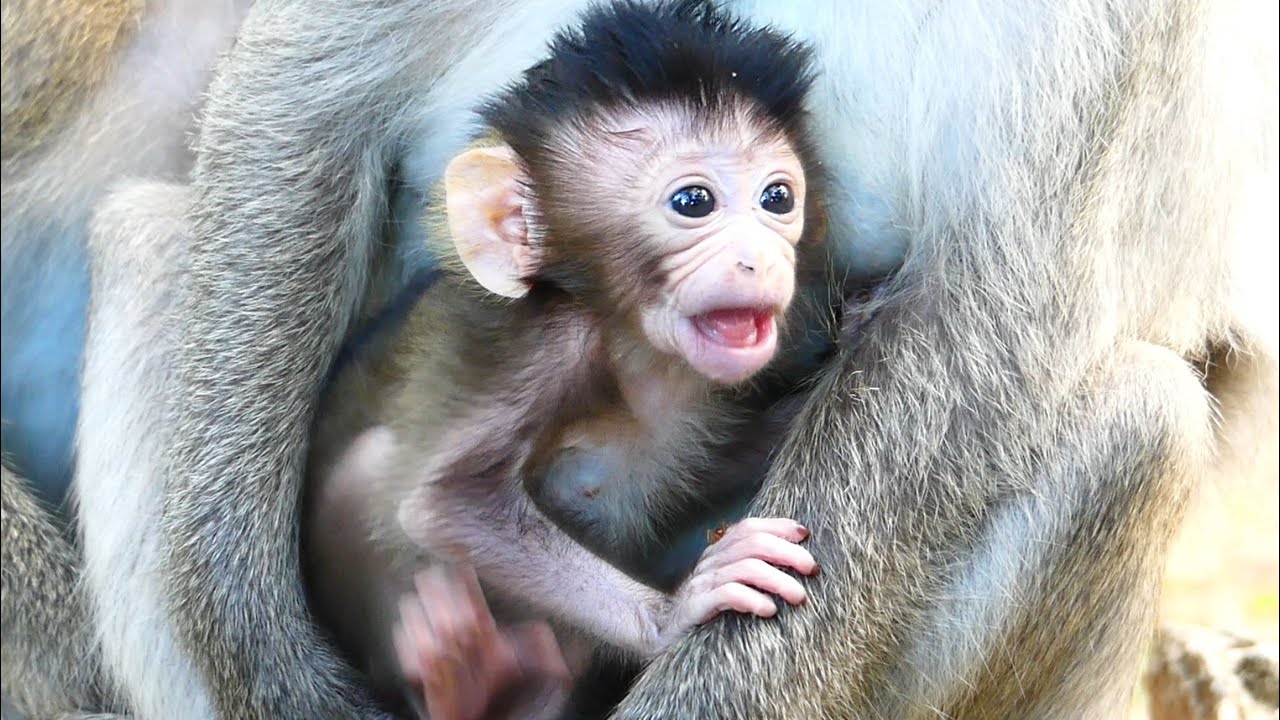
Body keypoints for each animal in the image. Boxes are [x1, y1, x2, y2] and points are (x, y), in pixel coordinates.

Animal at [2, 0, 1275, 718]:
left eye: (776, 198)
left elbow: (984, 306)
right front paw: (263, 652)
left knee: (1137, 425)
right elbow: (309, 92)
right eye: (689, 200)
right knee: (163, 236)